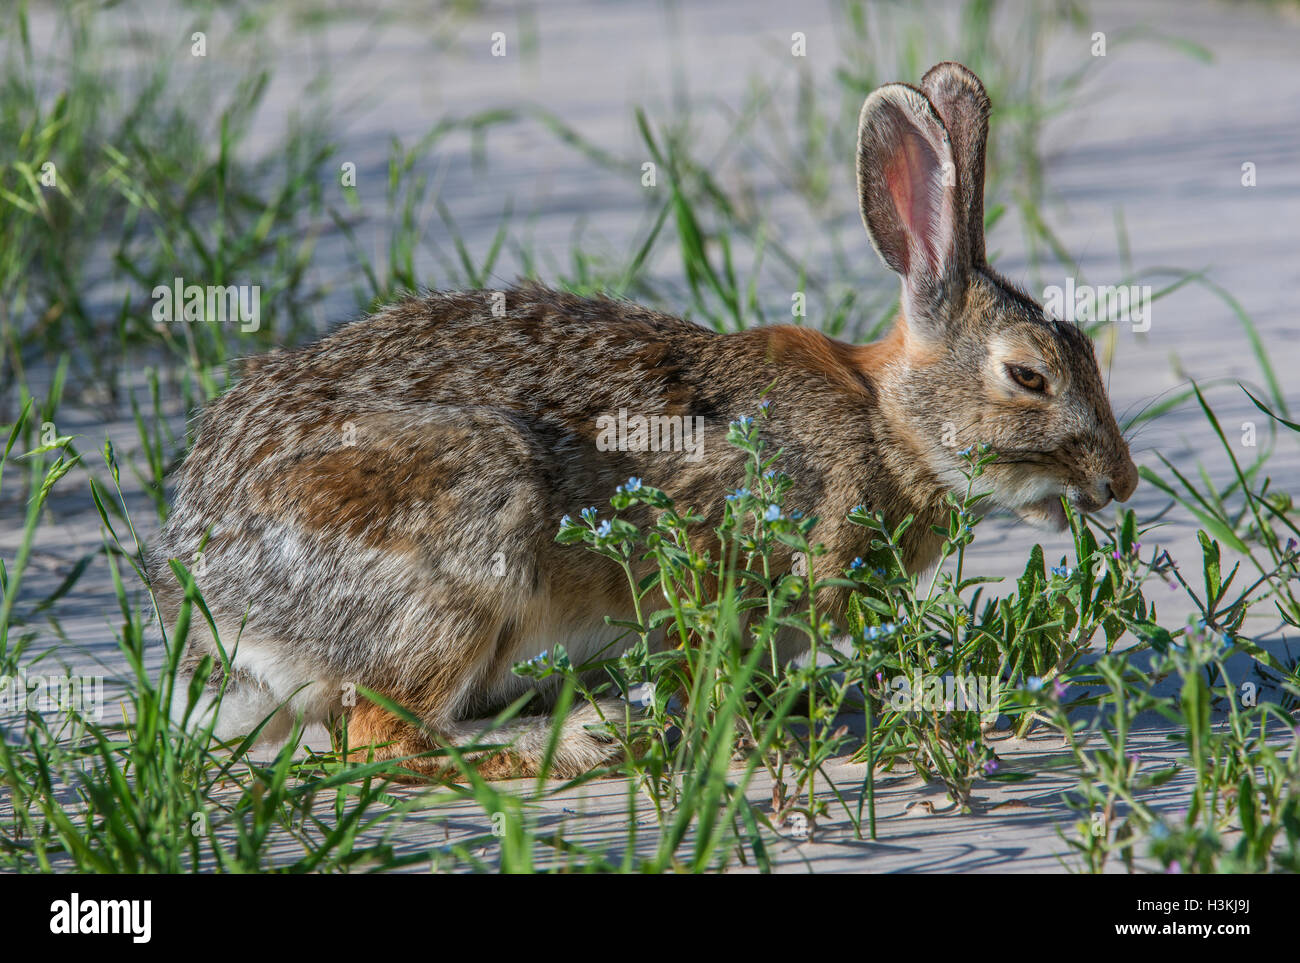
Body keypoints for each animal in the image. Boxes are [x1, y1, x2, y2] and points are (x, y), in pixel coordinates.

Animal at [147, 62, 1138, 780]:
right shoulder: (717, 563)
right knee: (383, 740)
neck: (888, 427)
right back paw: (576, 742)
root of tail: (217, 595)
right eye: (1028, 375)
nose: (1119, 482)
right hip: (463, 541)